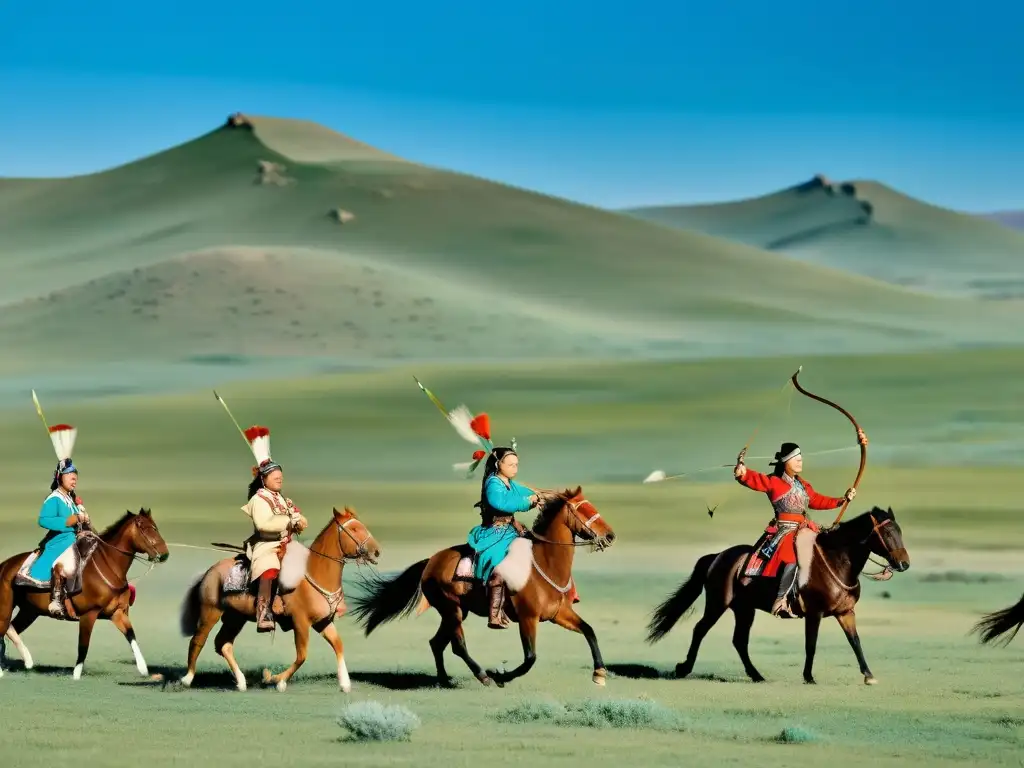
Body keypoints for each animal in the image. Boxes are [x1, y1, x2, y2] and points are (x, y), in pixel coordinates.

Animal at [0, 507, 169, 684]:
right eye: (144, 528)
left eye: (155, 527)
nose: (164, 554)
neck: (108, 567)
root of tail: (5, 565)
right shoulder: (89, 614)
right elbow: (83, 645)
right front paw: (76, 675)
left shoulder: (118, 613)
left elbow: (131, 636)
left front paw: (143, 669)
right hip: (6, 607)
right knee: (3, 628)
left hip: (30, 611)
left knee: (11, 629)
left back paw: (26, 661)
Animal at [178, 507, 382, 696]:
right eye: (354, 528)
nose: (376, 552)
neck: (314, 573)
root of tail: (209, 571)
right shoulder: (301, 621)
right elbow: (302, 655)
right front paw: (277, 680)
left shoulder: (323, 621)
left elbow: (338, 645)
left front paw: (345, 683)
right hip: (211, 612)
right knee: (198, 640)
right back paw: (187, 679)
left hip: (235, 617)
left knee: (223, 644)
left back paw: (241, 682)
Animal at [350, 489, 614, 696]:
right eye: (584, 510)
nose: (610, 535)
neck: (545, 564)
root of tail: (431, 562)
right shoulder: (528, 618)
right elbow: (530, 658)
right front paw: (500, 676)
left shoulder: (558, 614)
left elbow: (589, 631)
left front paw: (599, 673)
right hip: (452, 609)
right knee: (457, 645)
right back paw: (482, 675)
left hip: (455, 612)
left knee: (437, 643)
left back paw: (444, 680)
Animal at [647, 507, 913, 688]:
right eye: (888, 533)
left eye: (900, 532)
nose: (904, 564)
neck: (837, 562)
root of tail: (717, 556)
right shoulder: (814, 613)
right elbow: (811, 645)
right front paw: (809, 677)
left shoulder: (845, 613)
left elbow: (855, 641)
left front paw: (868, 675)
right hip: (717, 604)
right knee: (700, 630)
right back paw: (684, 668)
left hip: (744, 609)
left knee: (739, 640)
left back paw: (756, 675)